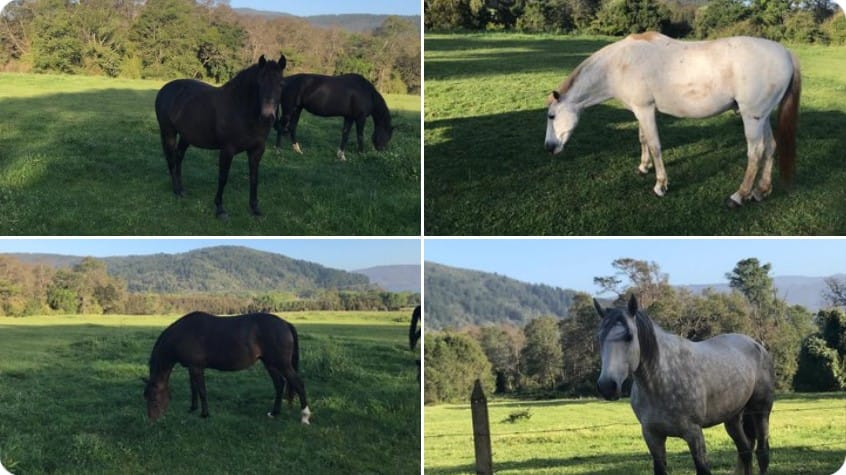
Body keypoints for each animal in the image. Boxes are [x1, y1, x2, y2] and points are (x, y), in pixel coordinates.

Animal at [142, 311, 311, 425]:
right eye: (146, 397)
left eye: (154, 399)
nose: (152, 420)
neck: (183, 333)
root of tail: (285, 324)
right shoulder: (191, 368)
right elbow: (194, 389)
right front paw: (192, 409)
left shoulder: (196, 368)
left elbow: (201, 391)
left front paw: (204, 414)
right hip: (270, 364)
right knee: (279, 384)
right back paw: (275, 413)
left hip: (282, 364)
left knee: (299, 384)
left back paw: (305, 417)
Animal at [155, 54, 286, 219]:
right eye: (259, 83)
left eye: (281, 84)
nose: (267, 117)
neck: (240, 108)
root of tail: (164, 90)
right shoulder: (227, 150)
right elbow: (223, 177)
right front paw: (220, 209)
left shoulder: (257, 151)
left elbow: (254, 178)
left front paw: (255, 208)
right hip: (169, 133)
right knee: (172, 159)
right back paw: (177, 190)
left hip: (186, 137)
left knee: (178, 157)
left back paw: (181, 189)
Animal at [545, 32, 800, 208]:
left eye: (551, 115)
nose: (549, 147)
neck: (619, 64)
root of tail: (786, 53)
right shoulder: (641, 110)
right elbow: (643, 139)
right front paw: (643, 167)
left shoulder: (645, 109)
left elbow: (655, 145)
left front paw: (660, 185)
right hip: (762, 116)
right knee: (770, 147)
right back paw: (761, 191)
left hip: (752, 118)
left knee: (755, 152)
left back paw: (739, 196)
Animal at [594, 295, 774, 475]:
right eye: (599, 338)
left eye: (629, 336)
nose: (607, 386)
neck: (661, 380)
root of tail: (757, 345)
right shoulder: (652, 436)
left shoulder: (693, 434)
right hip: (732, 418)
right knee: (745, 451)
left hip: (761, 412)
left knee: (762, 453)